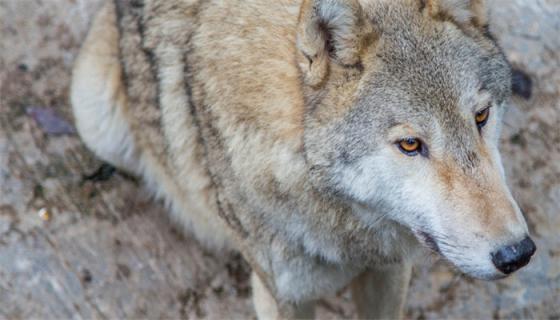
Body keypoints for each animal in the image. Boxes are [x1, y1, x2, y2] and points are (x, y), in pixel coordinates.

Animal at [72, 0, 536, 318]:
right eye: (409, 144)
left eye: (481, 116)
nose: (517, 254)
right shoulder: (284, 296)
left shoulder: (390, 272)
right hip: (97, 116)